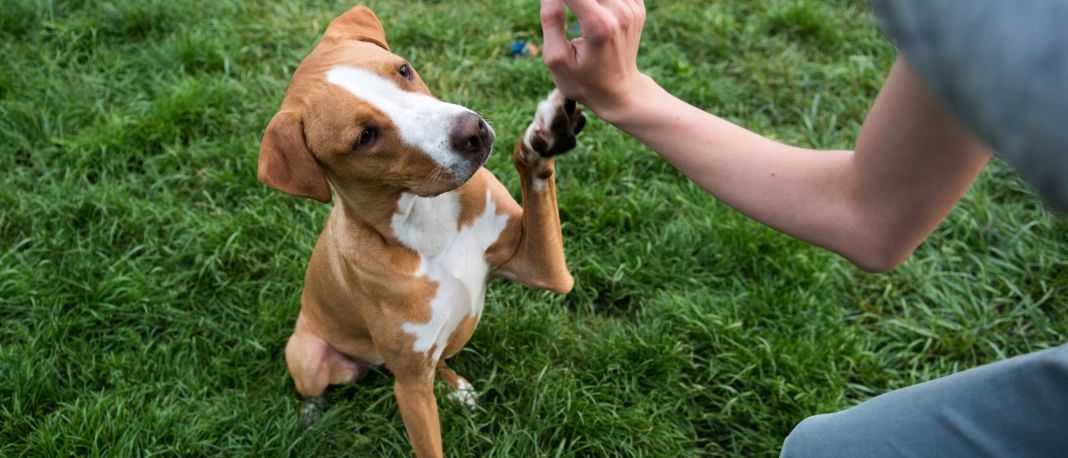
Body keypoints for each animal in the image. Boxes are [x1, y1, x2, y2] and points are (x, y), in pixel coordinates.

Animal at [258, 4, 589, 456]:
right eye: (365, 136)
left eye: (403, 69)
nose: (472, 132)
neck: (426, 218)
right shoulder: (411, 389)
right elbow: (429, 444)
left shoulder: (546, 270)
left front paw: (545, 135)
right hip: (308, 353)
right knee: (314, 384)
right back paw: (311, 415)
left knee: (440, 360)